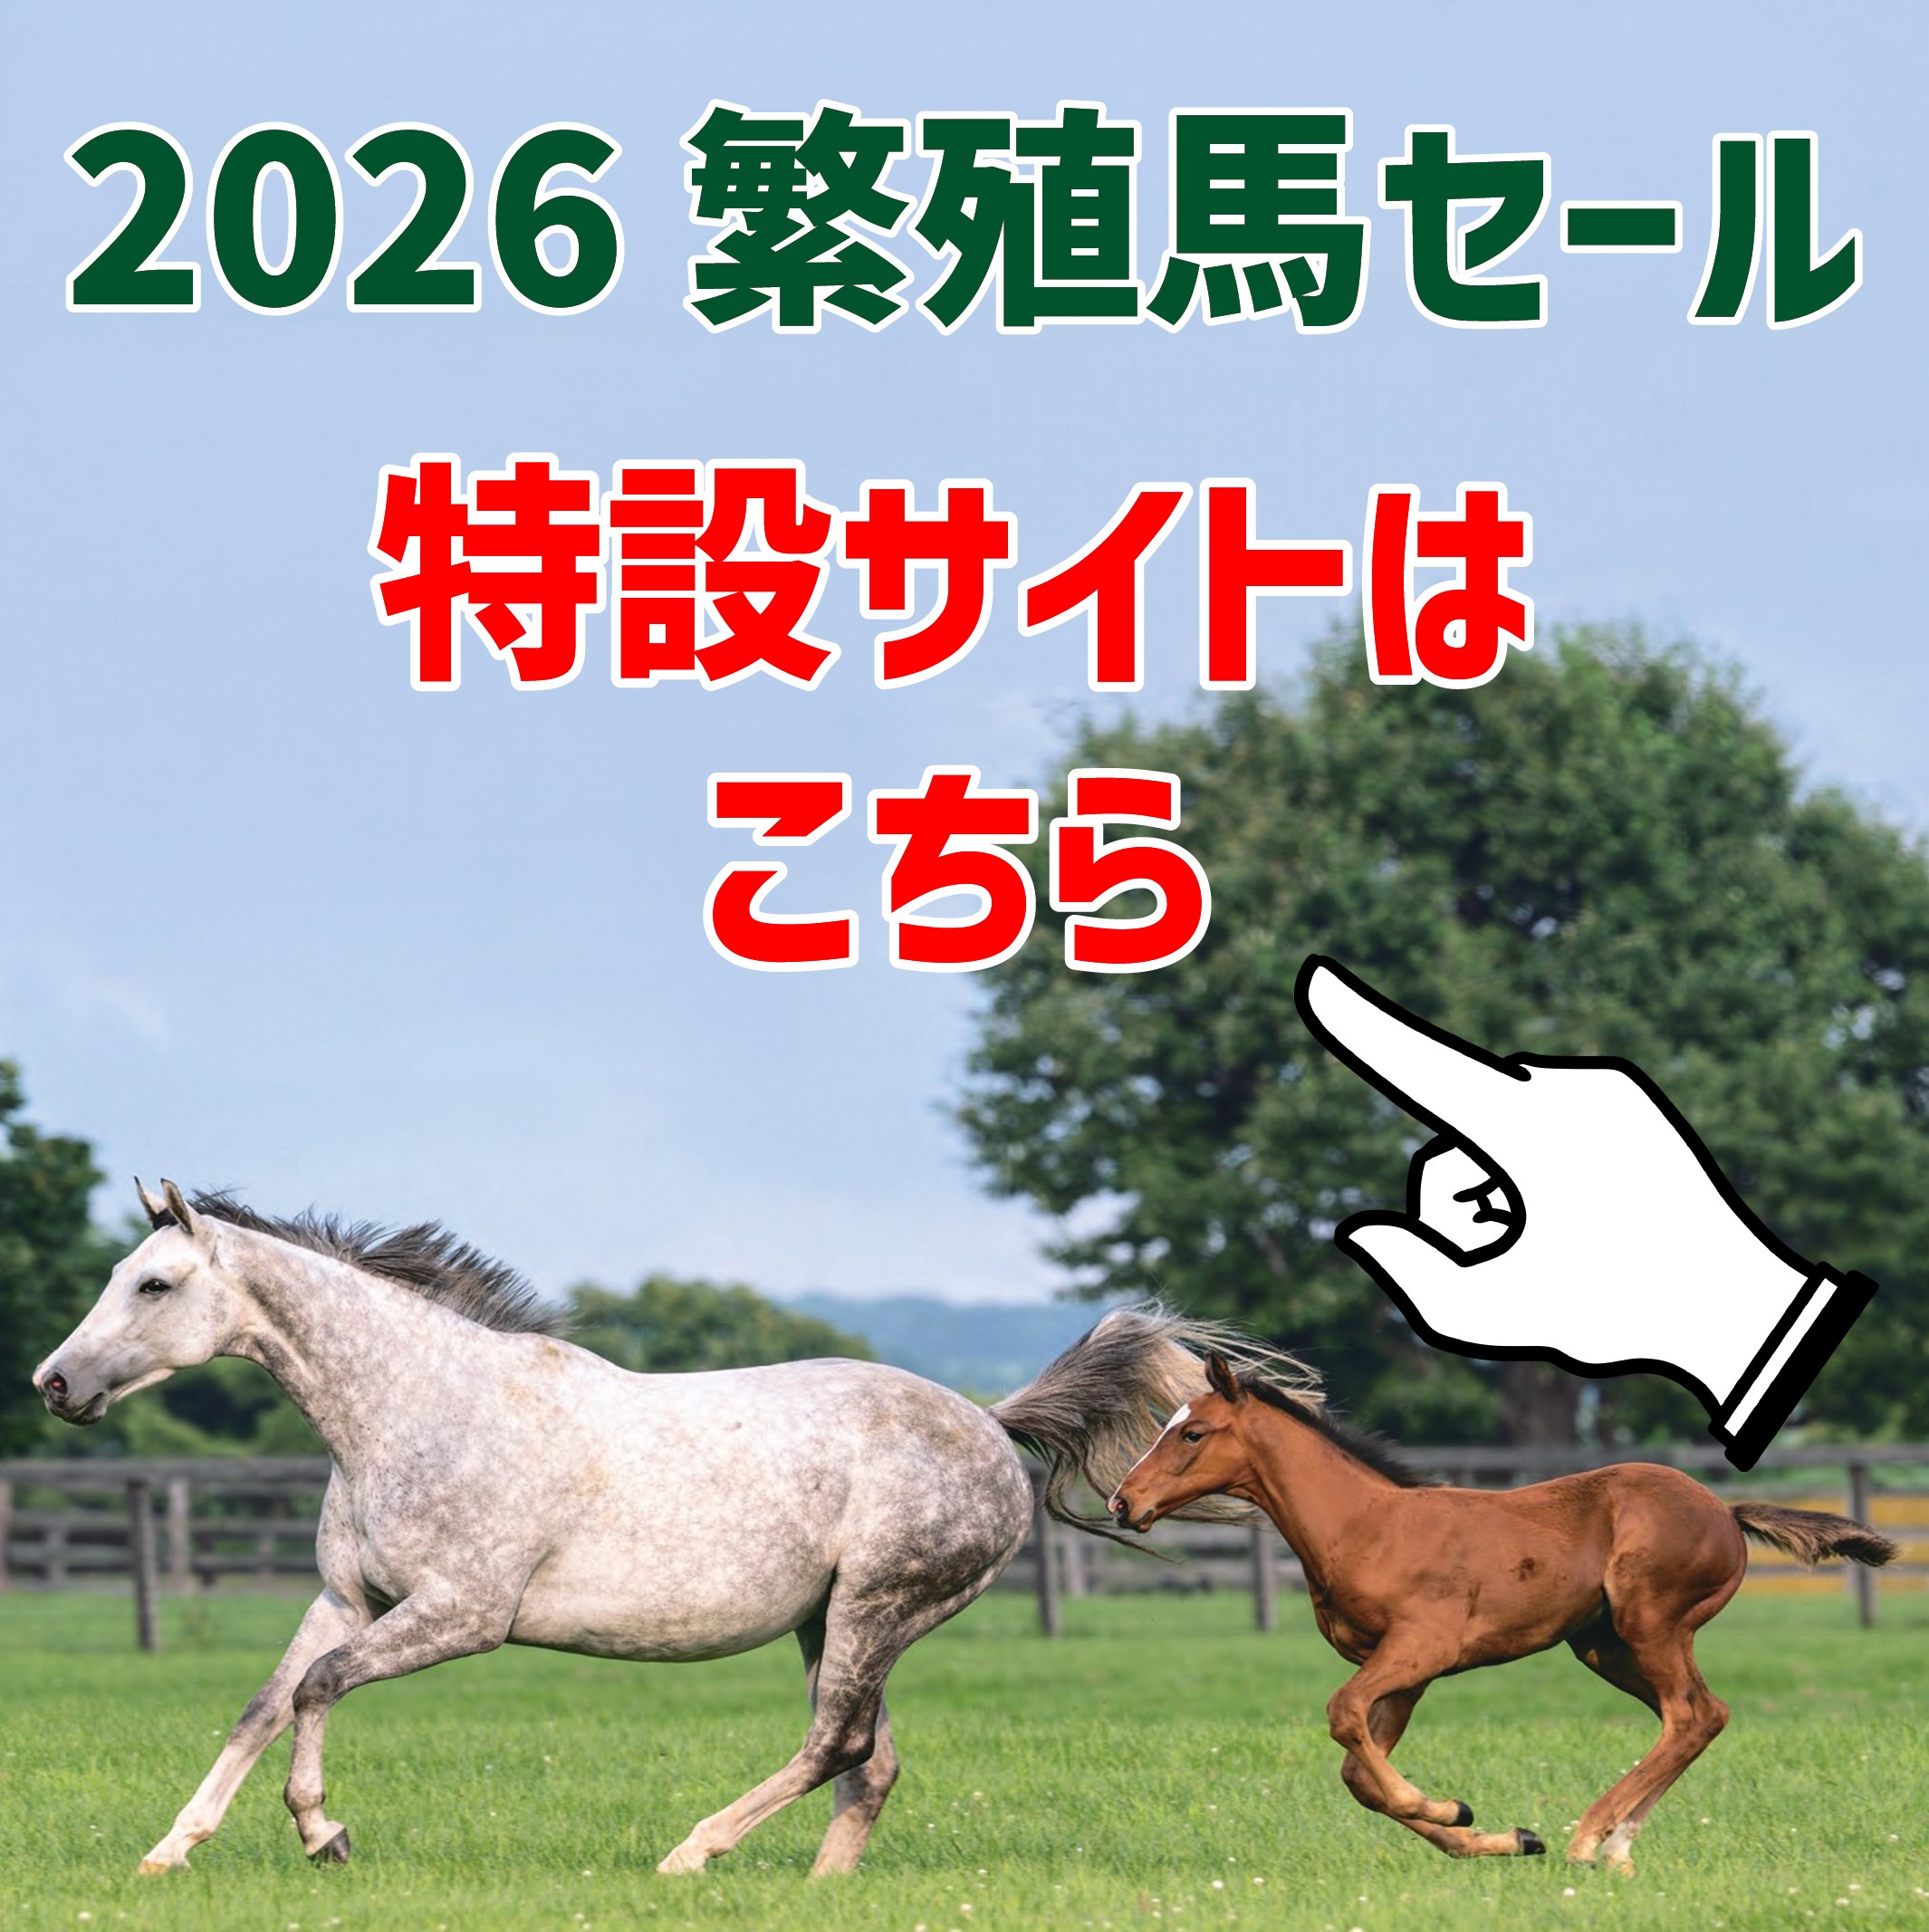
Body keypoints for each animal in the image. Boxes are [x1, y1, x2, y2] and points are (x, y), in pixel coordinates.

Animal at [34, 1182, 1283, 1878]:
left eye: (152, 1286)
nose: (54, 1384)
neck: (414, 1407)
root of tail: (986, 1420)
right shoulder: (352, 1599)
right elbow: (264, 1702)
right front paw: (167, 1853)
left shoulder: (461, 1617)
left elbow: (318, 1689)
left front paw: (323, 1837)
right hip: (833, 1620)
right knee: (870, 1764)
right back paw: (816, 1891)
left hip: (878, 1608)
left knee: (836, 1747)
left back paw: (691, 1853)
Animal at [1107, 1351, 1896, 1876]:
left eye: (1192, 1433)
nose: (1122, 1501)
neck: (1365, 1525)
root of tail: (1725, 1513)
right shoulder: (1404, 1674)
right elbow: (1360, 1774)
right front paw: (1503, 1835)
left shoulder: (1420, 1649)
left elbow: (1342, 1717)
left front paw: (1455, 1808)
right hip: (1603, 1646)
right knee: (1704, 1715)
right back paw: (1614, 1846)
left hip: (1652, 1622)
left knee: (1690, 1714)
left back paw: (1588, 1839)